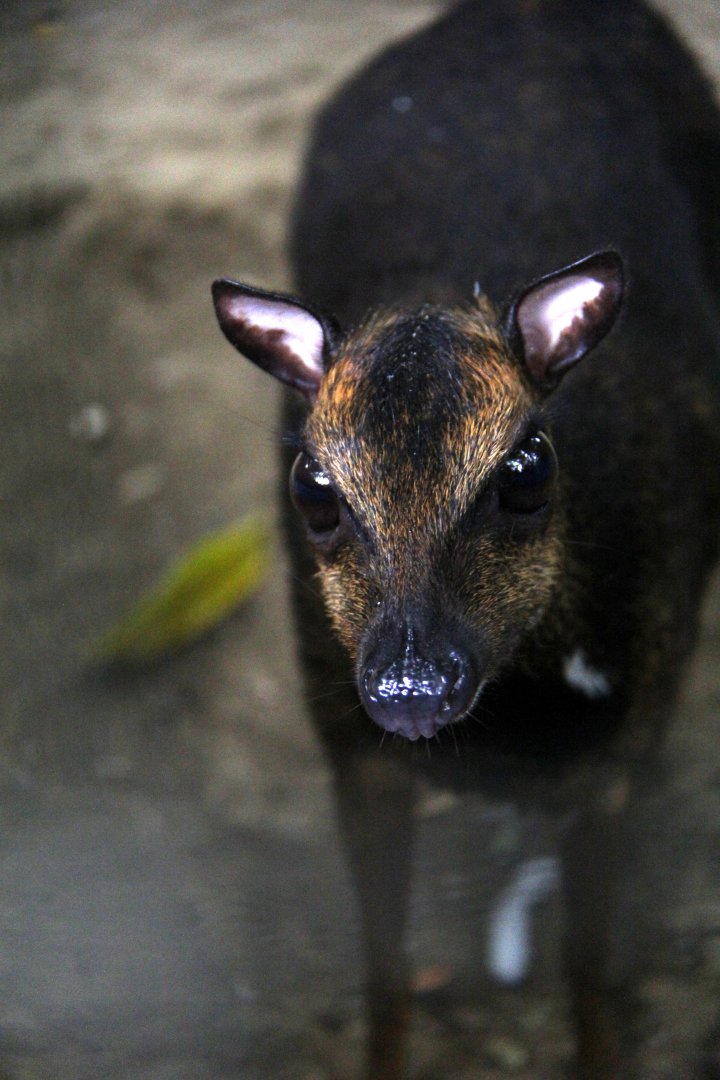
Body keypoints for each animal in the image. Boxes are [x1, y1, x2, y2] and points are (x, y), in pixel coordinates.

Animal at [212, 0, 720, 1076]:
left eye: (525, 468)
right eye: (313, 486)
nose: (411, 688)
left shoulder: (623, 746)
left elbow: (589, 963)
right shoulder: (345, 738)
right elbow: (385, 965)